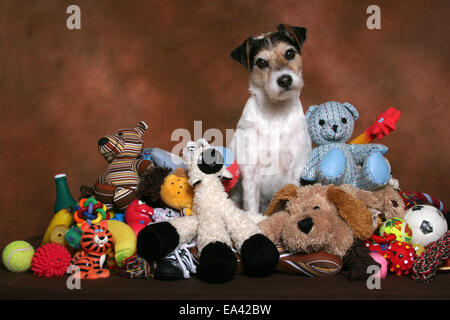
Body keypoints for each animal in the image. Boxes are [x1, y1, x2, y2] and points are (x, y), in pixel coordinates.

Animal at [229, 23, 312, 214]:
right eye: (261, 62)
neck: (276, 113)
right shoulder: (250, 176)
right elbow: (252, 210)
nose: (284, 80)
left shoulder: (295, 170)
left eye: (289, 53)